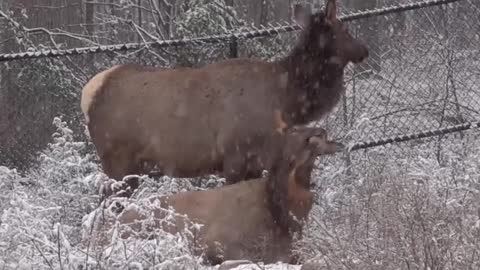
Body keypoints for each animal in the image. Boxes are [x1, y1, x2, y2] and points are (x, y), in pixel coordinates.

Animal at [81, 0, 368, 195]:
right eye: (344, 29)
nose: (364, 50)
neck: (284, 102)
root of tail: (89, 95)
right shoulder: (235, 157)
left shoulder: (256, 161)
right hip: (118, 162)